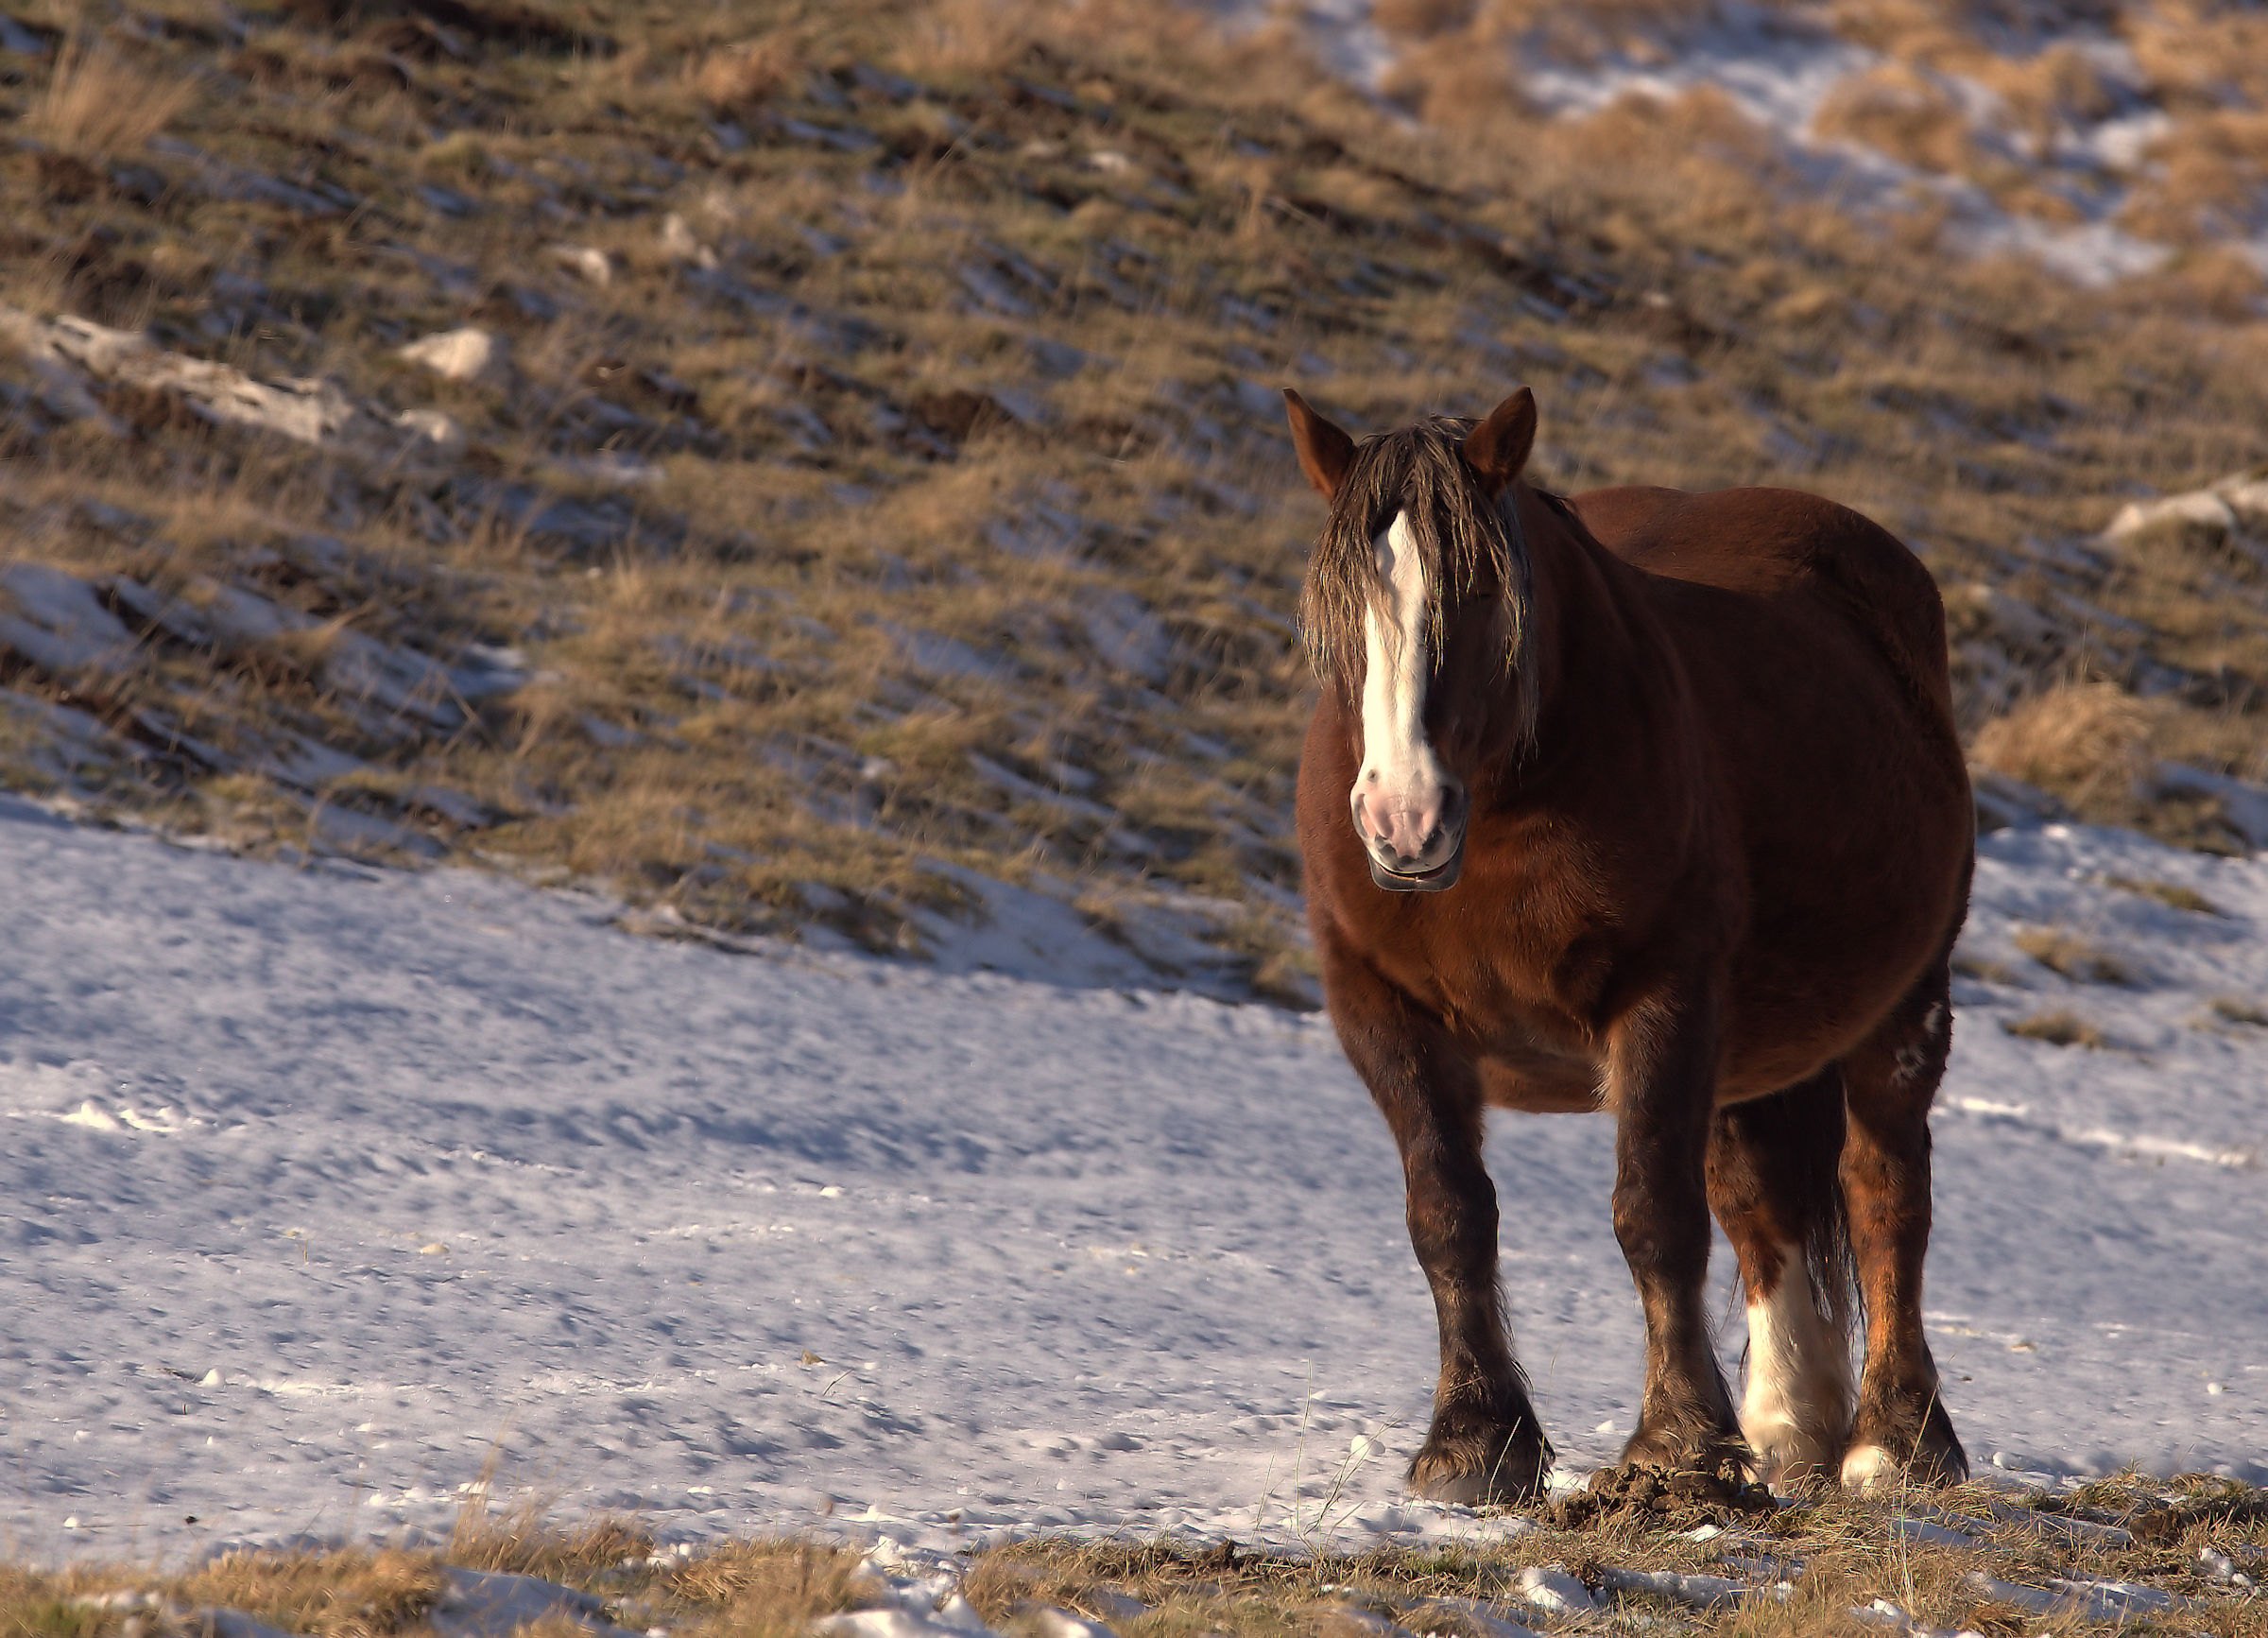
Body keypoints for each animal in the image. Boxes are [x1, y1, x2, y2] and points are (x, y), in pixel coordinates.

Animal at [1281, 385, 1974, 1502]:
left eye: (1481, 594)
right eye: (1339, 610)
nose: (1403, 821)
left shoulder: (1663, 997)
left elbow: (1654, 1214)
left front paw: (1679, 1444)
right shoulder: (1382, 1011)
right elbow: (1448, 1213)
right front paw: (1475, 1441)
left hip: (1903, 1004)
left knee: (1884, 1194)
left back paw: (1896, 1439)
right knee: (1761, 1198)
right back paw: (1788, 1425)